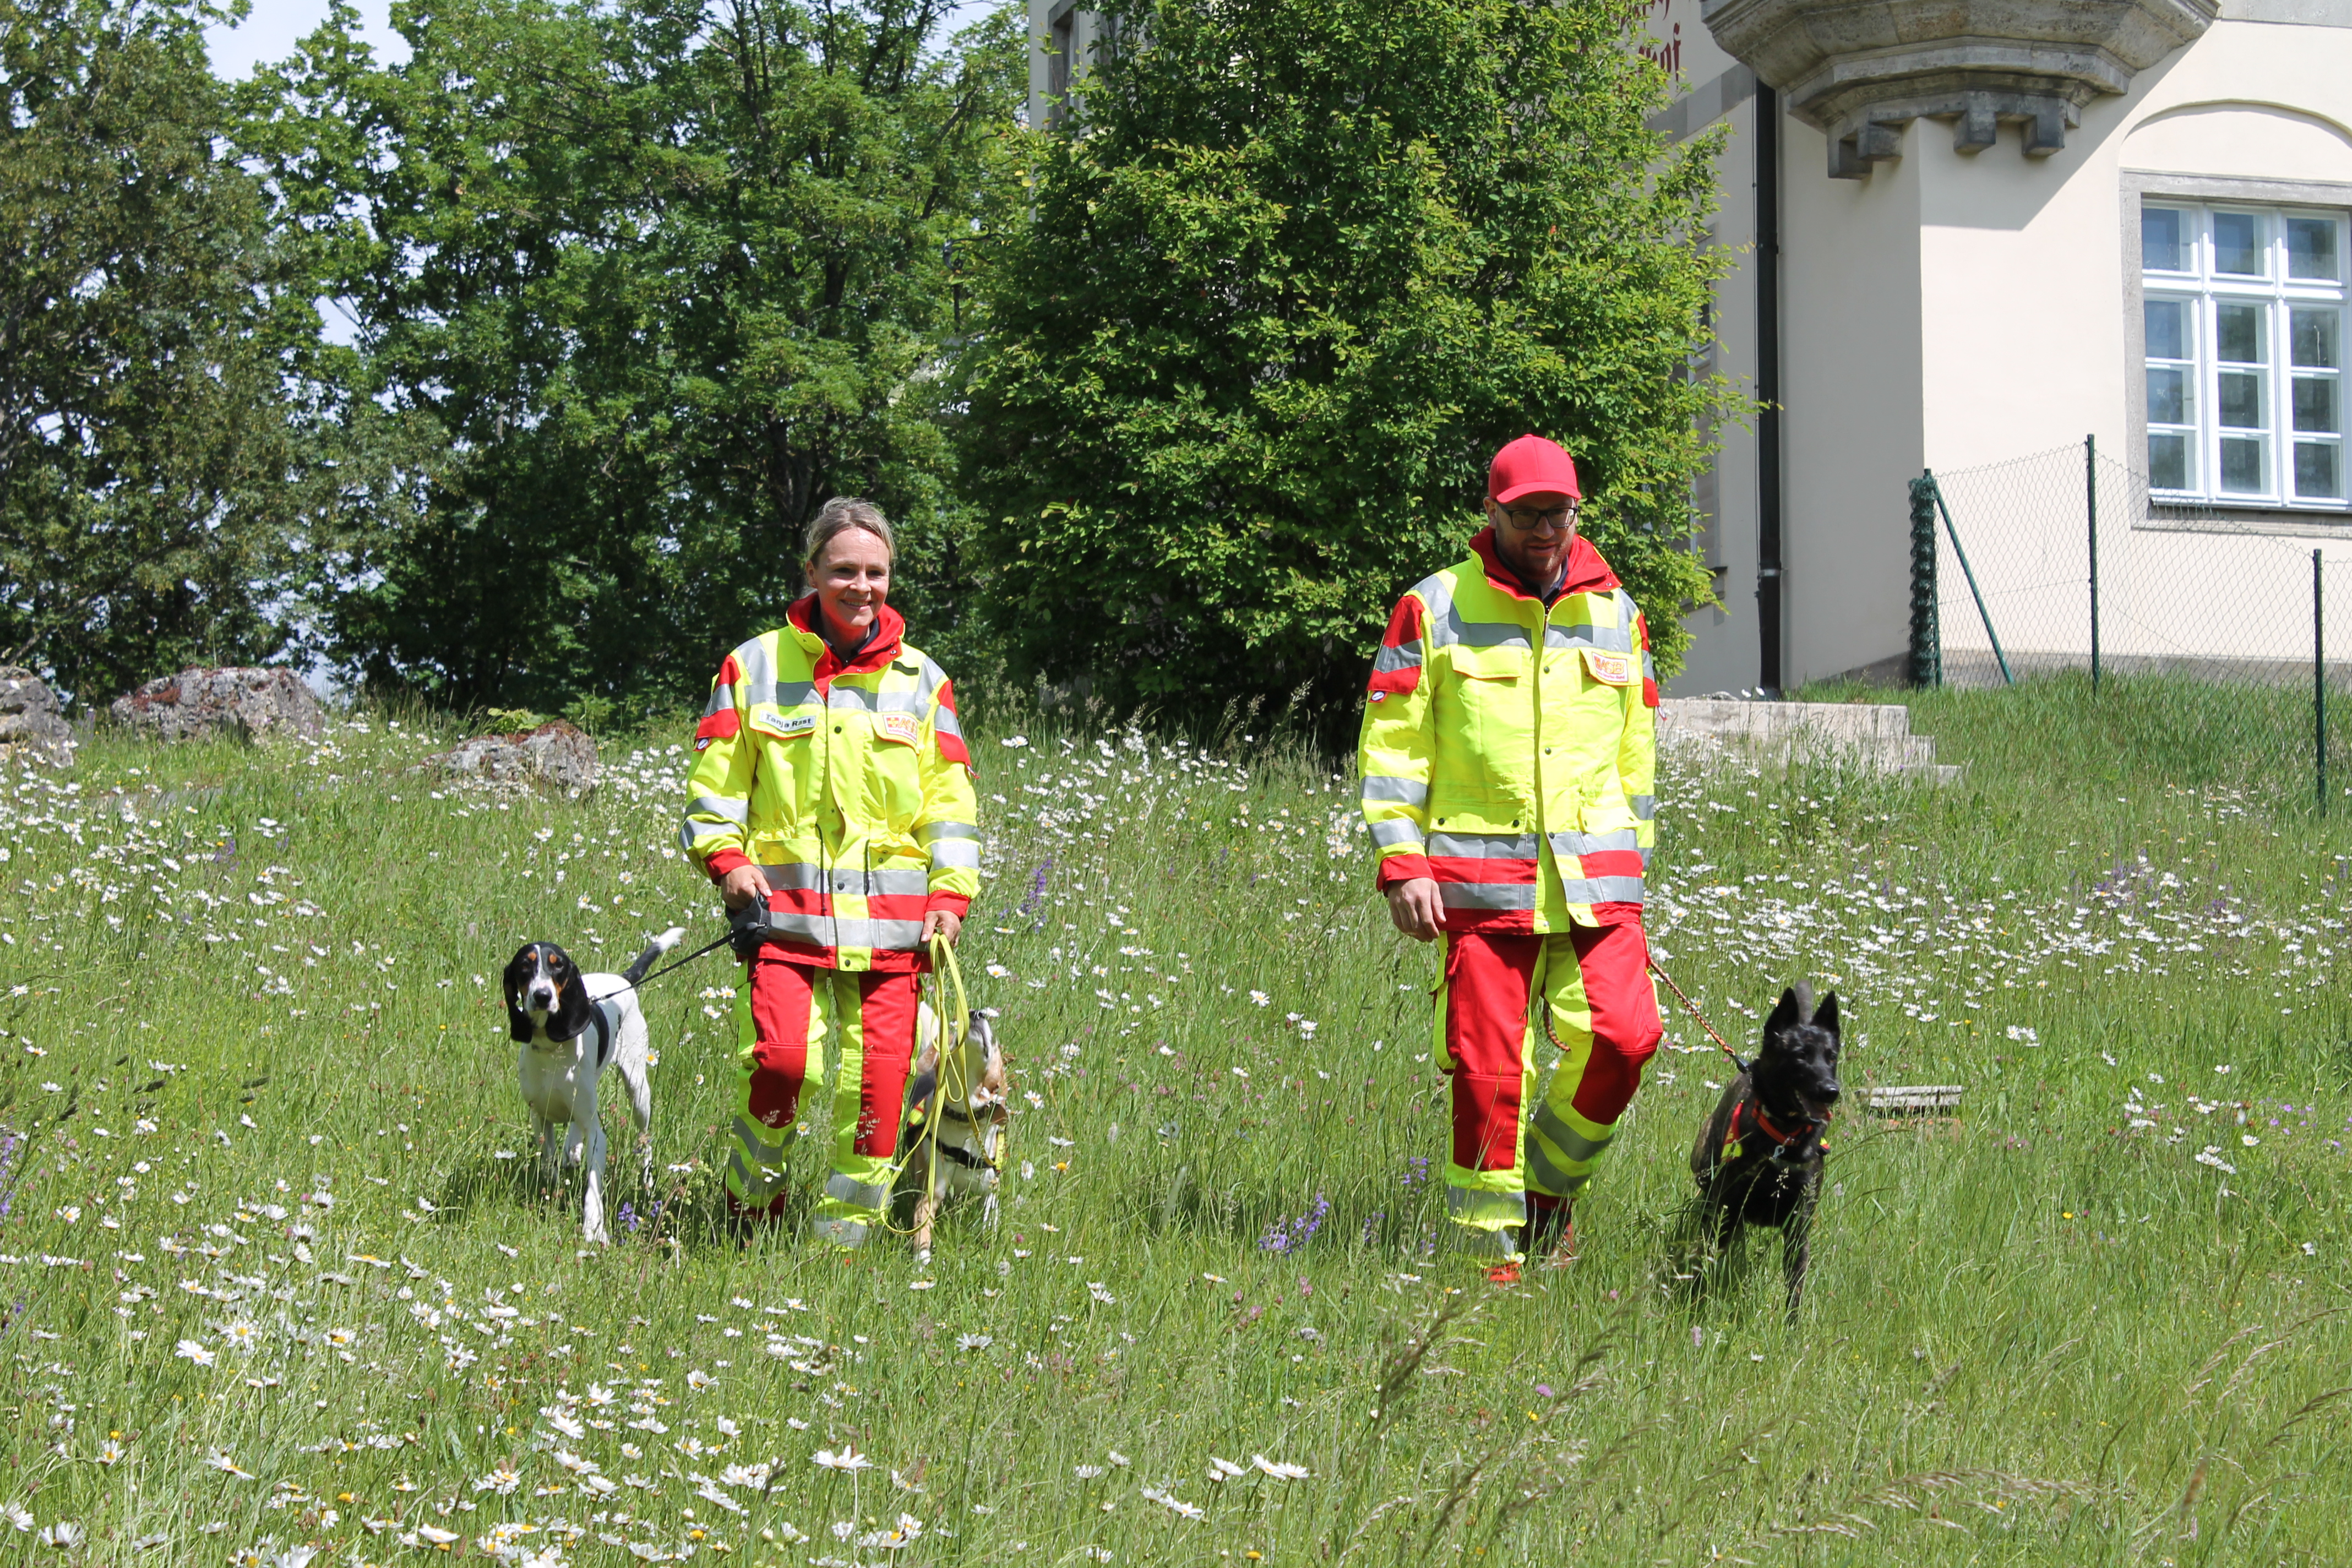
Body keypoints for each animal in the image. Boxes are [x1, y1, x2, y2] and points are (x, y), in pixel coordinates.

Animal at [496, 926, 682, 1241]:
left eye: (557, 965)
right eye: (524, 966)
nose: (543, 996)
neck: (552, 1050)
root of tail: (622, 980)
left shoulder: (597, 1135)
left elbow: (593, 1188)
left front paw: (594, 1229)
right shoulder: (540, 1118)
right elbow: (548, 1162)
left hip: (638, 1091)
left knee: (644, 1141)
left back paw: (646, 1180)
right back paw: (572, 1148)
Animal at [898, 1006, 1011, 1260]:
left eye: (994, 1042)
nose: (976, 1013)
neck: (964, 1116)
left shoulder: (990, 1188)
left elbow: (990, 1218)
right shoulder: (932, 1189)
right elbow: (923, 1230)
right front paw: (921, 1261)